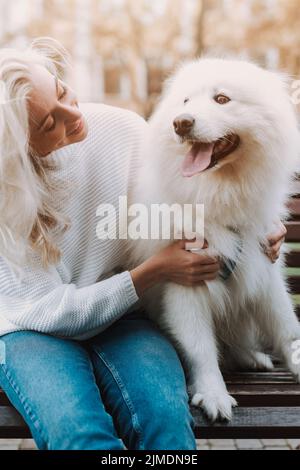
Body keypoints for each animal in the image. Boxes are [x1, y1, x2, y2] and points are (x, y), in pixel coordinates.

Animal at [127, 58, 300, 422]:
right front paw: (213, 394)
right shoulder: (185, 283)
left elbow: (287, 327)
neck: (217, 199)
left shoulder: (264, 270)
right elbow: (200, 347)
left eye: (222, 99)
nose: (181, 123)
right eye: (185, 101)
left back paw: (252, 357)